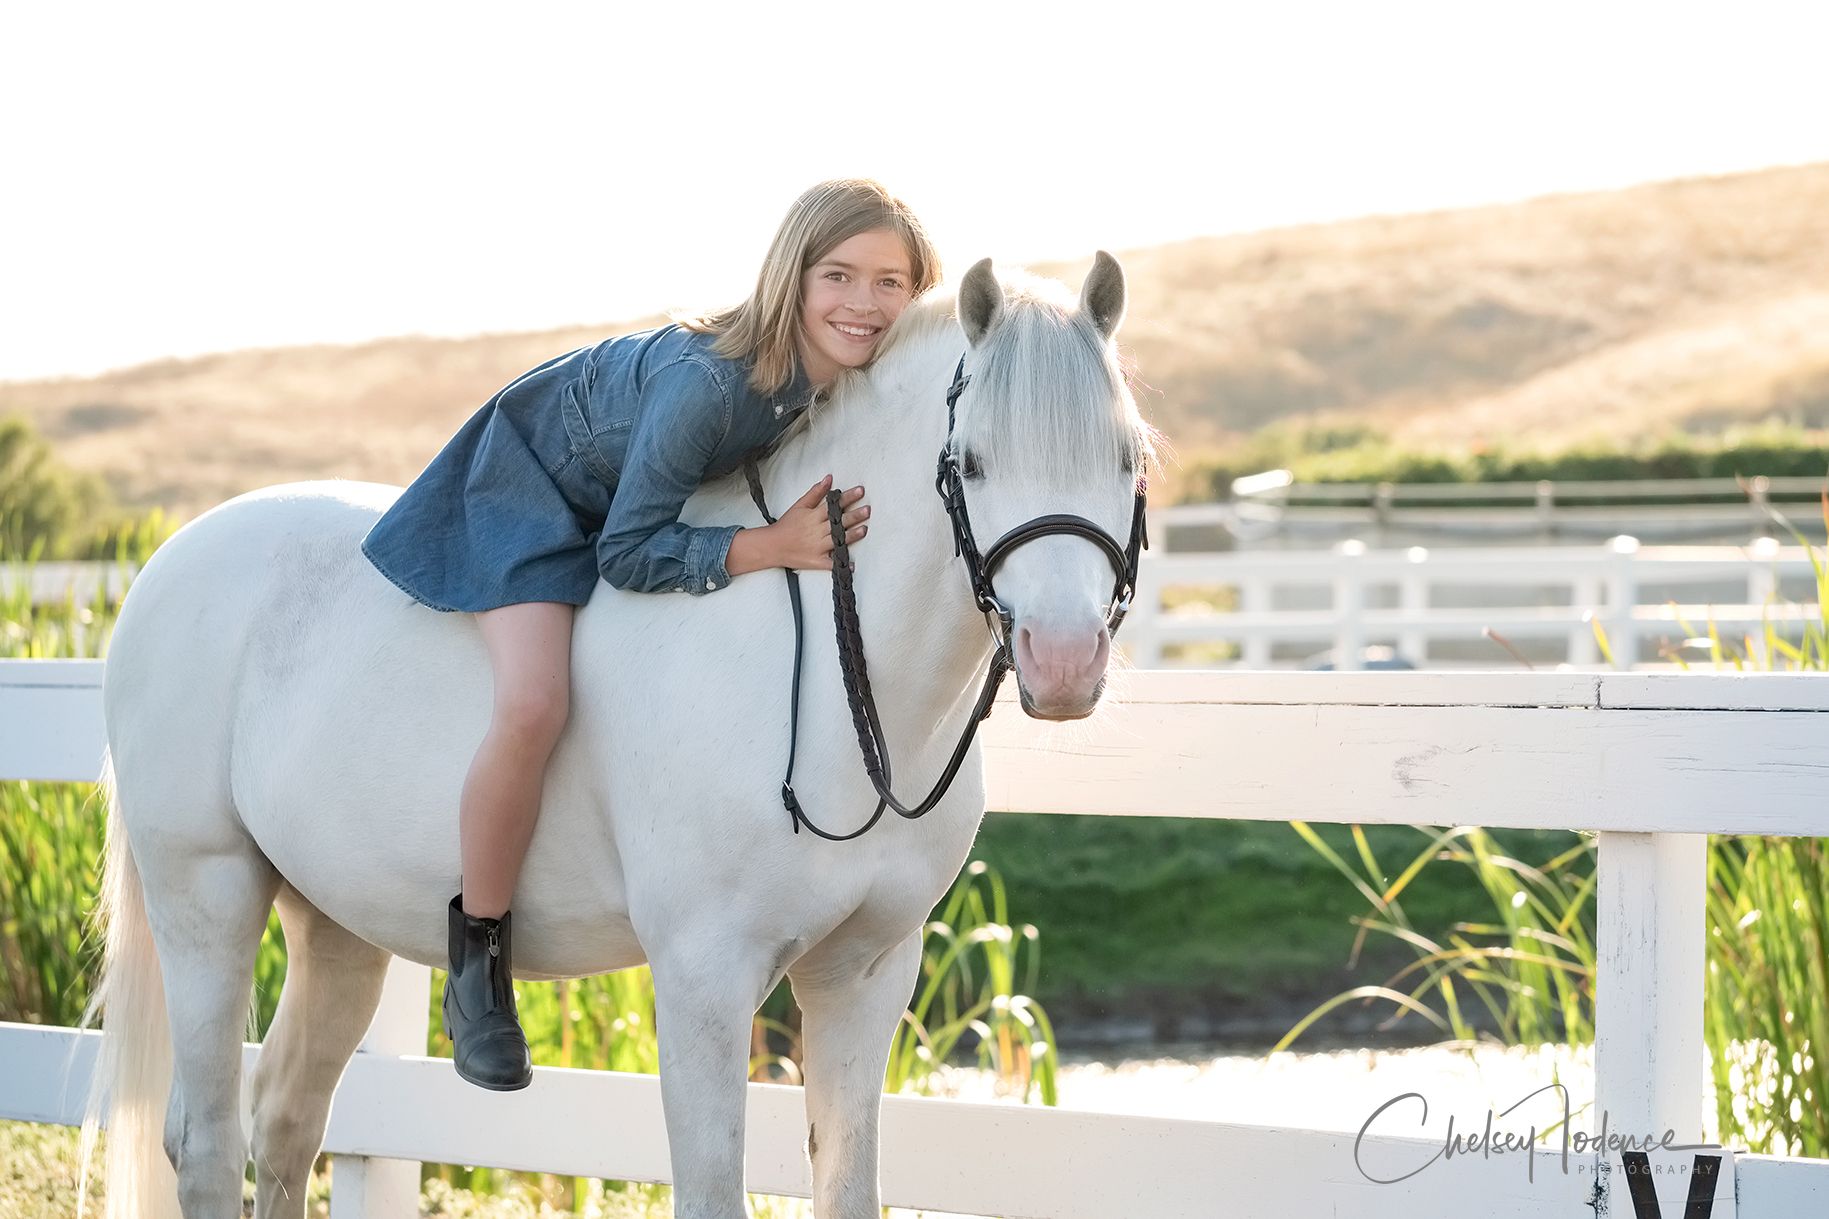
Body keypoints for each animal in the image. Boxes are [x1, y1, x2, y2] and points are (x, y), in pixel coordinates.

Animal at [80, 252, 1154, 1219]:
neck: (830, 682)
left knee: (286, 1123)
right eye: (971, 462)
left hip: (336, 924)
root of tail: (167, 562)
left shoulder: (864, 975)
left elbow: (848, 1186)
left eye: (1126, 458)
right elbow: (712, 1191)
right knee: (208, 1143)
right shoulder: (703, 978)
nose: (1064, 661)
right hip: (207, 896)